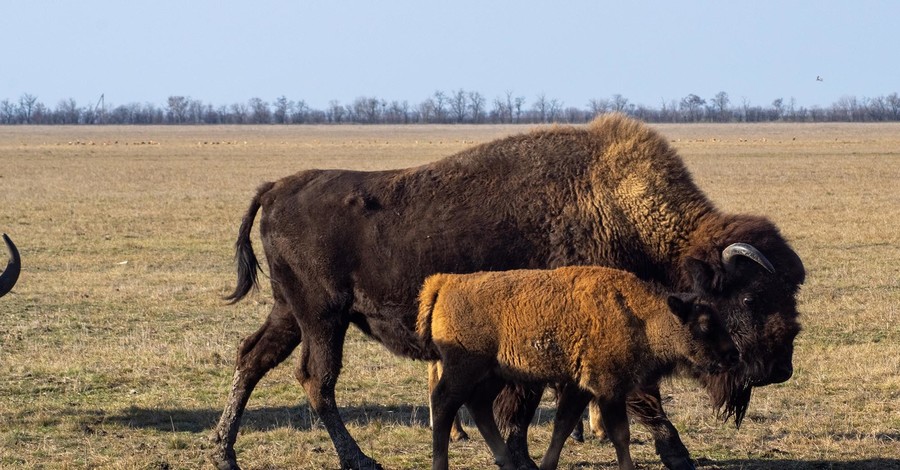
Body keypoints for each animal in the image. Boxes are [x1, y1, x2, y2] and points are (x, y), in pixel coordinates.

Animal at [416, 268, 740, 470]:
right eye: (705, 324)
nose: (733, 355)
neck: (640, 316)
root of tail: (445, 283)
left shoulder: (582, 387)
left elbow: (563, 426)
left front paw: (547, 465)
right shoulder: (608, 388)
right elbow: (620, 433)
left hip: (493, 374)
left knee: (479, 406)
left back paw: (506, 461)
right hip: (464, 369)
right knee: (444, 402)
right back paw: (441, 464)